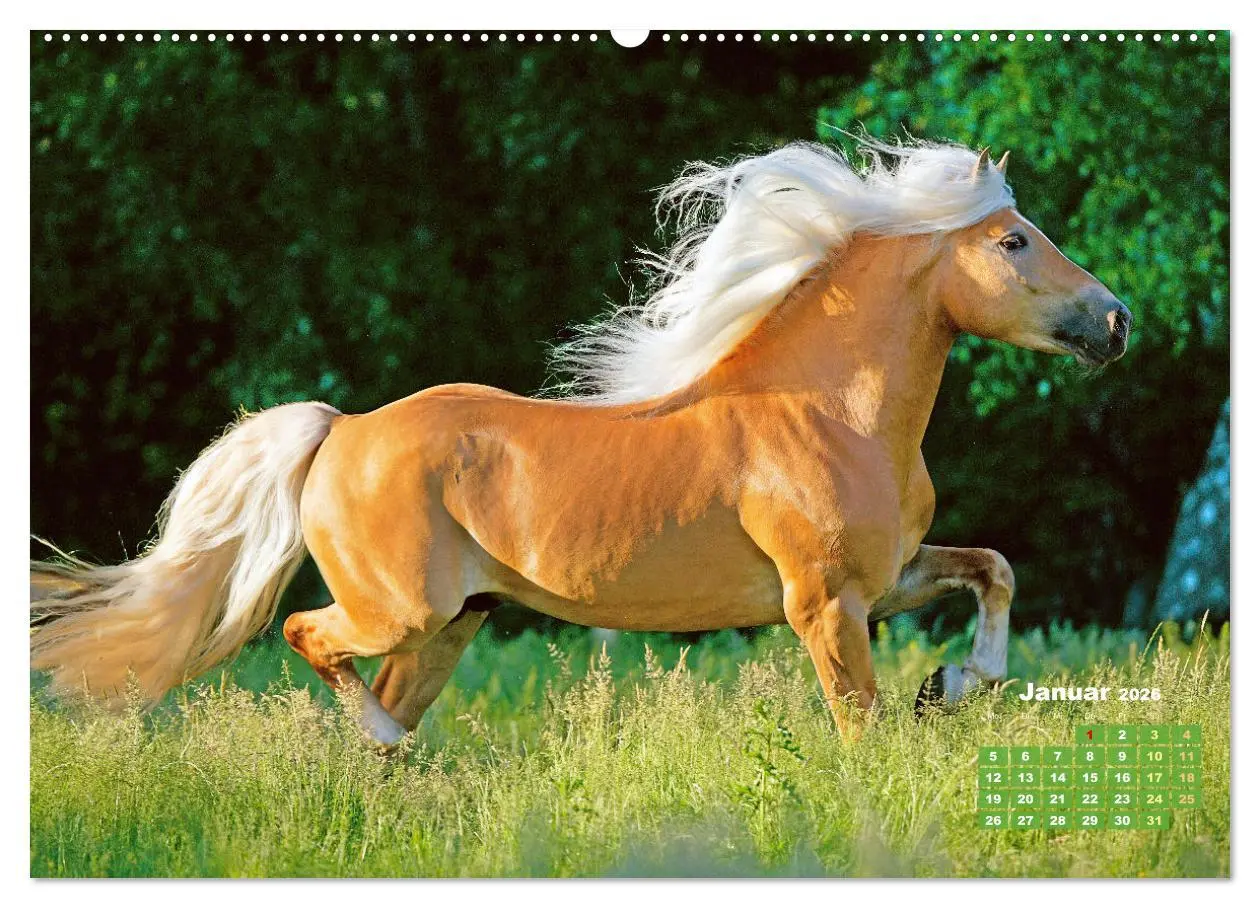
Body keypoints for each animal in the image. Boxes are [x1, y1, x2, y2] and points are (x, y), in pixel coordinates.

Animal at [30, 139, 1131, 747]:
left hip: (452, 624)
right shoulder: (824, 603)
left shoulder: (888, 578)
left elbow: (994, 569)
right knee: (310, 636)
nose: (1116, 321)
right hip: (401, 610)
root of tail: (341, 430)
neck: (828, 414)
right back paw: (391, 745)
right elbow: (860, 728)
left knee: (373, 700)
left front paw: (951, 685)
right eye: (1013, 240)